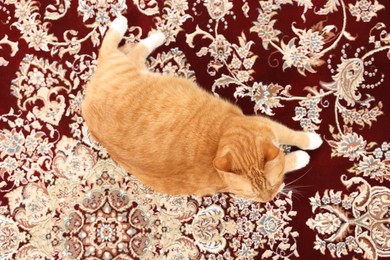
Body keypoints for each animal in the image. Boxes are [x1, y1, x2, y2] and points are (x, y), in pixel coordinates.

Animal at [80, 16, 322, 203]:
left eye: (270, 187)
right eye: (253, 196)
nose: (268, 199)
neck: (221, 141)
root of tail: (87, 101)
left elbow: (291, 137)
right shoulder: (265, 124)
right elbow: (291, 147)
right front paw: (304, 152)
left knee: (126, 51)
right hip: (125, 68)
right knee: (114, 48)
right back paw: (132, 27)